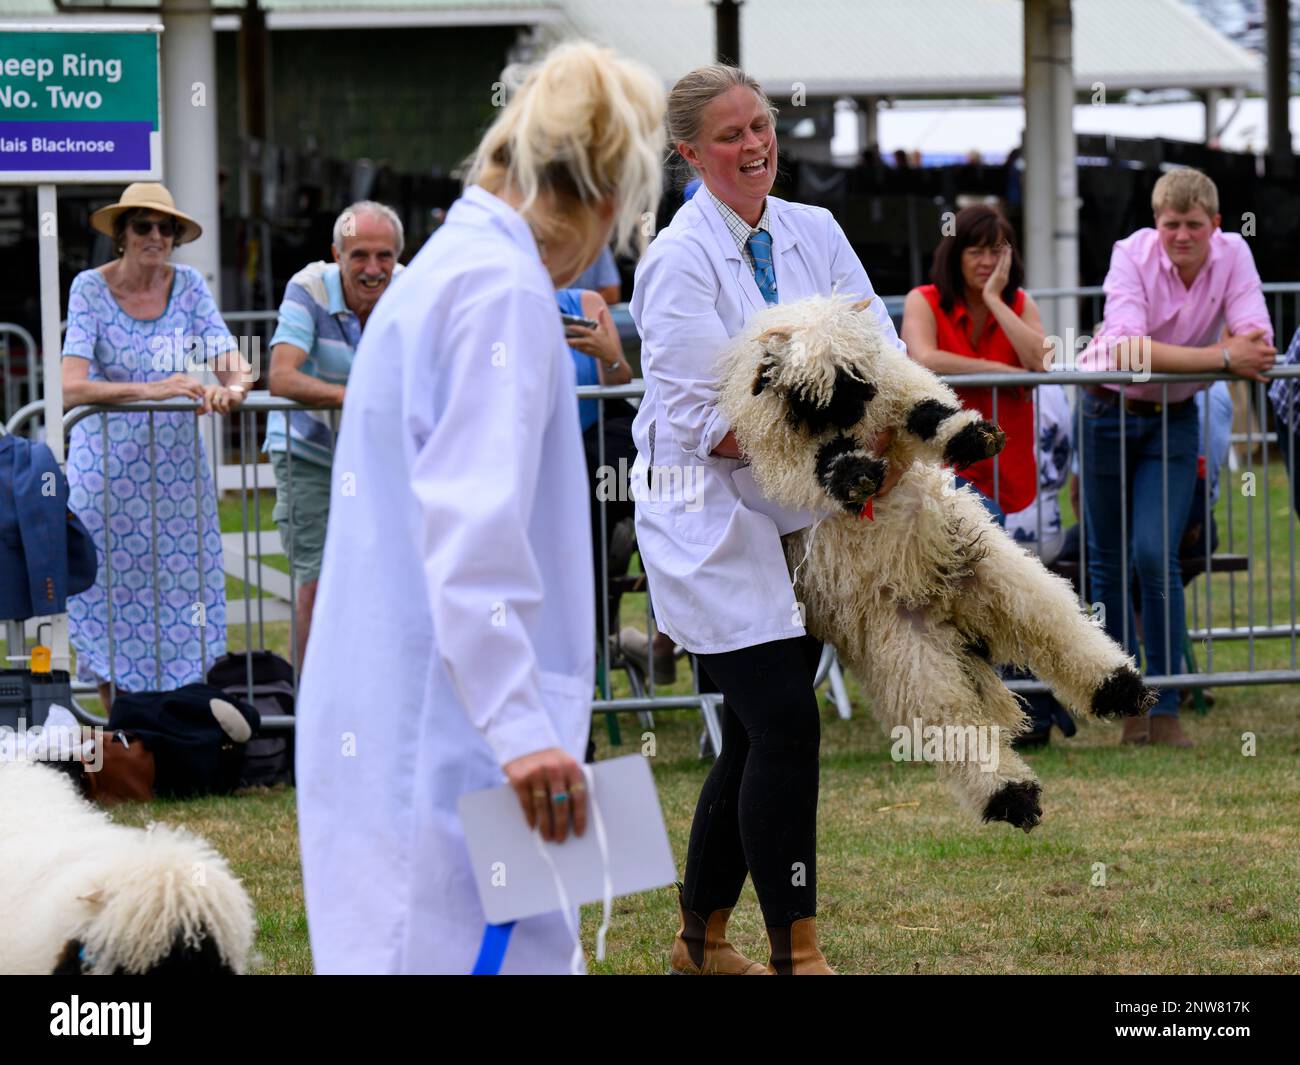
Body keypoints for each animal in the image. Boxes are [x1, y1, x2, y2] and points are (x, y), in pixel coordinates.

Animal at [717, 295, 1154, 827]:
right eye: (816, 393)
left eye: (860, 372)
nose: (859, 405)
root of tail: (942, 606)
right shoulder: (774, 450)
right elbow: (815, 466)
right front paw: (853, 474)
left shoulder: (896, 387)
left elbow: (925, 412)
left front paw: (973, 437)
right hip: (907, 651)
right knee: (953, 725)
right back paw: (1012, 795)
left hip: (996, 575)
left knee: (1058, 631)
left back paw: (1120, 689)